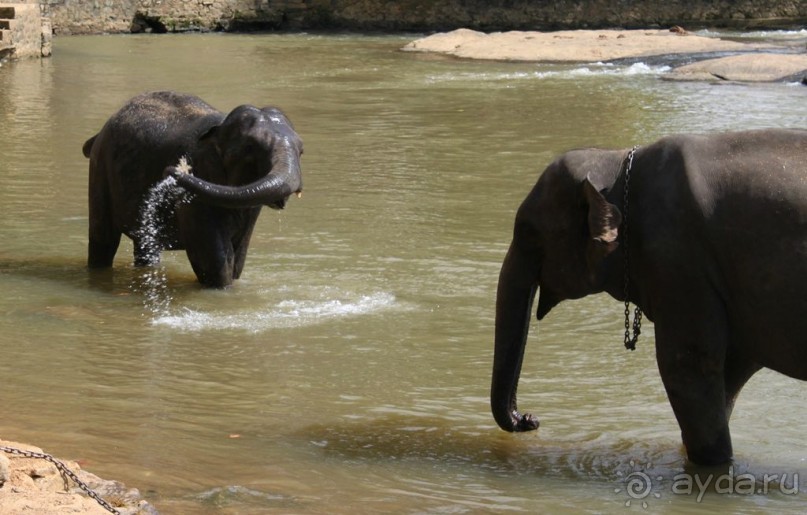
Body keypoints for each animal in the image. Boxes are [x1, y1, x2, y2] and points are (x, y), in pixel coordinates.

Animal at [83, 90, 304, 288]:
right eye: (250, 148)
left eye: (301, 150)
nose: (172, 169)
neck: (218, 128)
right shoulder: (195, 191)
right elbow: (214, 262)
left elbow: (238, 260)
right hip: (100, 170)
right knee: (104, 240)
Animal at [492, 129, 807, 468]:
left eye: (528, 232)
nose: (530, 419)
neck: (619, 163)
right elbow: (730, 370)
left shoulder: (678, 262)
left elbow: (685, 365)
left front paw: (713, 463)